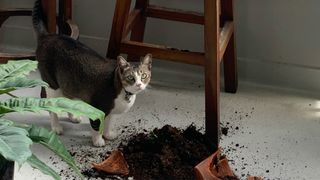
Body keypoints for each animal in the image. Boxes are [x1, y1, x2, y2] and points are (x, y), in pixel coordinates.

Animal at [32, 0, 152, 146]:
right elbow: (97, 126)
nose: (139, 84)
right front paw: (98, 141)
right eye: (130, 77)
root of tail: (48, 36)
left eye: (144, 76)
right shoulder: (98, 108)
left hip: (69, 83)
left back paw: (73, 117)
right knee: (50, 103)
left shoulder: (111, 112)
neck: (124, 93)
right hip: (53, 86)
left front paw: (108, 134)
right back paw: (56, 127)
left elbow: (108, 123)